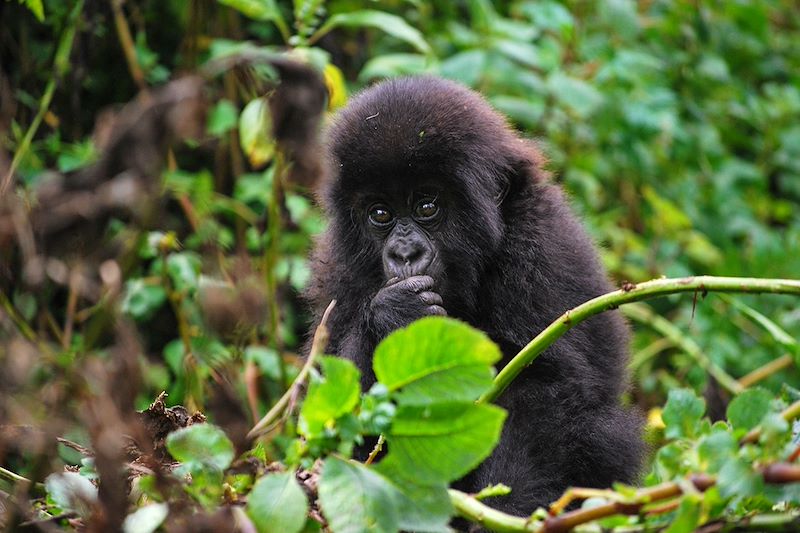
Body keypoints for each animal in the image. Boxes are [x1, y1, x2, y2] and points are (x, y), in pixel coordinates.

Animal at [306, 76, 644, 516]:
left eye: (427, 206)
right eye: (380, 214)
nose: (404, 254)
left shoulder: (539, 245)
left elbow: (541, 390)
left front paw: (508, 512)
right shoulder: (338, 271)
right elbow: (330, 408)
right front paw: (393, 315)